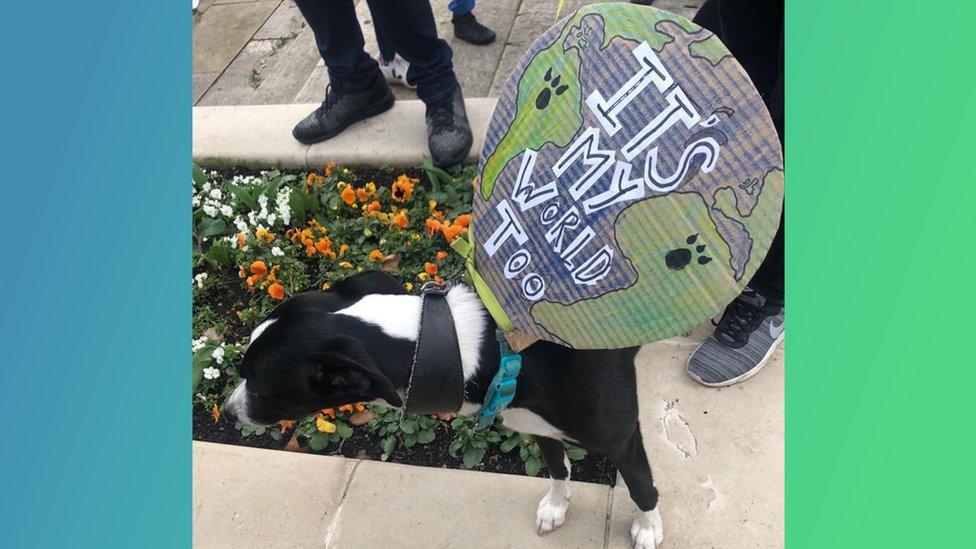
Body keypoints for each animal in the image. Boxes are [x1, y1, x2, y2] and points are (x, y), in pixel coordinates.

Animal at [221, 272, 664, 544]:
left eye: (260, 384)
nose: (226, 412)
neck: (491, 347)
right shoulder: (535, 423)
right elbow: (557, 467)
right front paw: (556, 507)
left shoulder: (623, 439)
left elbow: (642, 486)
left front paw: (646, 528)